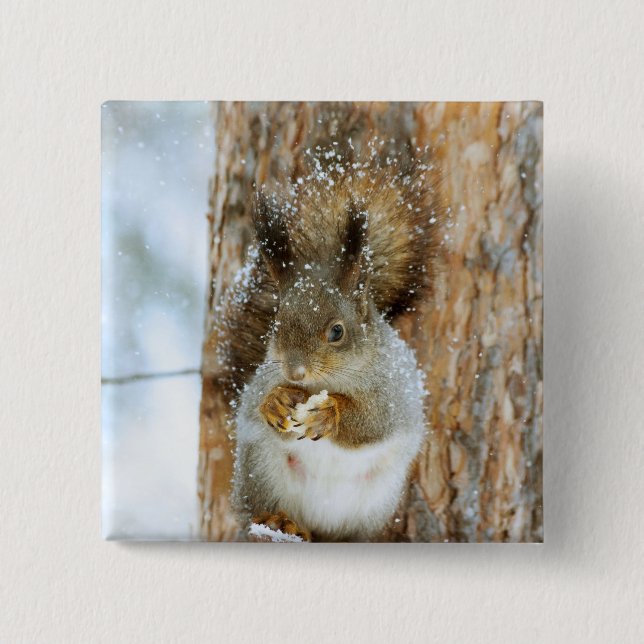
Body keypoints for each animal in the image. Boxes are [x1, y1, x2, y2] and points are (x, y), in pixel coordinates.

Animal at [219, 154, 444, 541]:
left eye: (337, 332)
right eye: (276, 325)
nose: (294, 372)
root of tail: (318, 525)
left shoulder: (394, 392)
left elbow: (373, 421)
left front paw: (330, 413)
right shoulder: (262, 379)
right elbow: (255, 401)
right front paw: (275, 402)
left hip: (374, 501)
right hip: (259, 471)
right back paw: (280, 521)